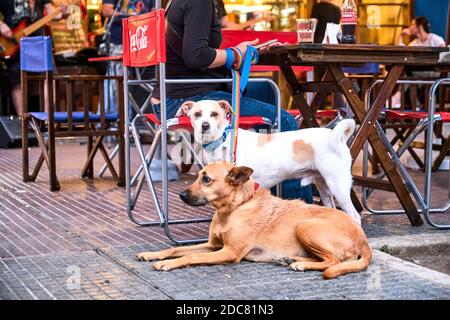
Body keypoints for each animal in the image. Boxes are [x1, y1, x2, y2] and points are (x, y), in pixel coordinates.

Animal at [135, 164, 370, 278]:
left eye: (206, 179)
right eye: (197, 175)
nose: (181, 195)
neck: (234, 208)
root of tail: (363, 240)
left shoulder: (229, 251)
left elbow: (191, 257)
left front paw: (167, 263)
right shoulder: (213, 246)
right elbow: (175, 249)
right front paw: (153, 254)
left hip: (305, 226)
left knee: (334, 262)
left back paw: (300, 264)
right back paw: (291, 260)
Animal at [177, 100, 362, 225]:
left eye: (214, 114)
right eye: (197, 114)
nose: (205, 125)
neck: (223, 140)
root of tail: (335, 137)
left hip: (338, 186)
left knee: (355, 216)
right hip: (323, 185)